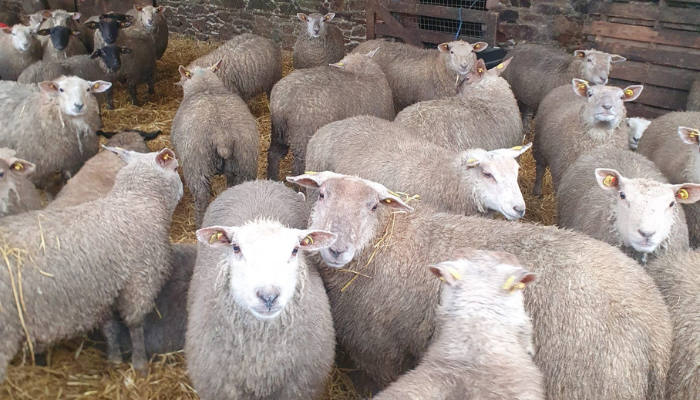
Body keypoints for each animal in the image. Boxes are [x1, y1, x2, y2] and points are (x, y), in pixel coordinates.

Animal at [0, 148, 183, 382]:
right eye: (176, 168)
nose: (182, 192)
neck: (137, 201)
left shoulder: (105, 290)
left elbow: (109, 327)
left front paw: (114, 359)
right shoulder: (140, 282)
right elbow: (135, 325)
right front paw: (140, 364)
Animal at [172, 61, 259, 228]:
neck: (207, 89)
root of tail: (221, 135)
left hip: (197, 166)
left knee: (201, 198)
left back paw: (199, 224)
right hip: (245, 162)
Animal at [267, 50, 394, 180]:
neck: (359, 71)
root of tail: (282, 102)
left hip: (279, 132)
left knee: (274, 154)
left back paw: (273, 178)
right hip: (302, 138)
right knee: (298, 167)